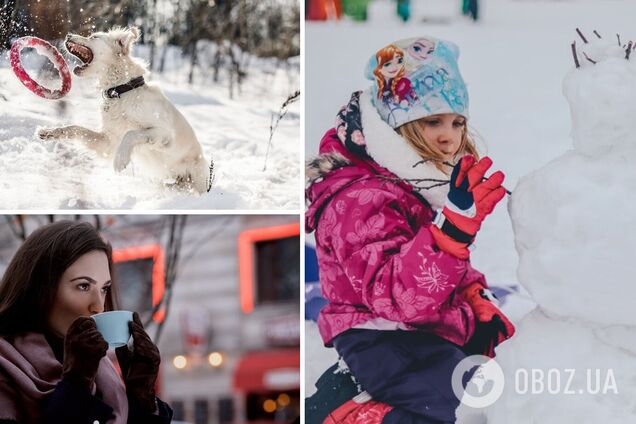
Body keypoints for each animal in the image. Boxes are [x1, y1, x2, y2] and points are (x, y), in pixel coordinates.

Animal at [38, 26, 212, 192]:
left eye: (94, 37)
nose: (68, 35)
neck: (121, 90)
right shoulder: (108, 141)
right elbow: (75, 128)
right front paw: (49, 132)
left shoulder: (165, 134)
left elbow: (131, 133)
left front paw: (120, 160)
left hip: (198, 179)